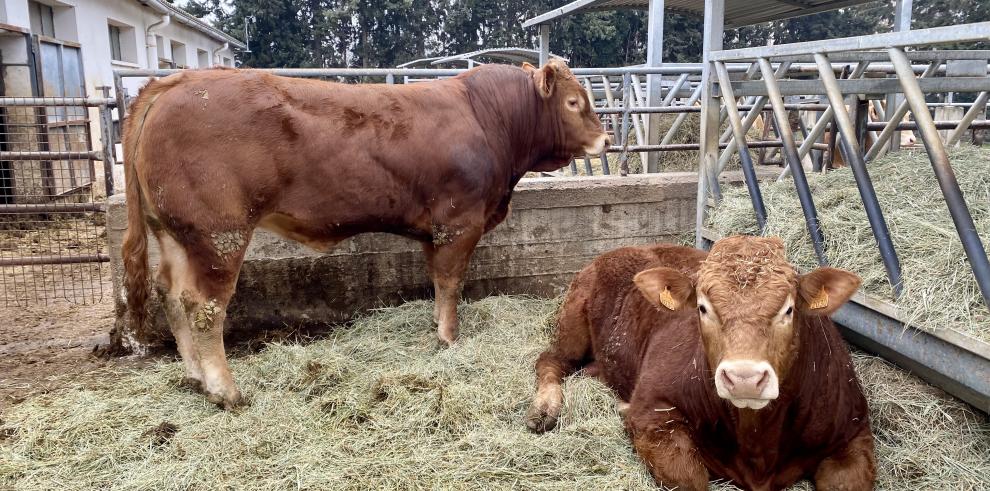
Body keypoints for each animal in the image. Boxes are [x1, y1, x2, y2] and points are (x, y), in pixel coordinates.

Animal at [120, 59, 608, 410]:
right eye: (572, 103)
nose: (604, 140)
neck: (489, 118)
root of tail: (179, 81)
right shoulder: (459, 222)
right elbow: (452, 282)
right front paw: (448, 338)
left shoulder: (435, 231)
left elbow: (437, 282)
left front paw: (436, 327)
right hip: (219, 234)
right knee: (204, 307)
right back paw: (226, 391)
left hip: (174, 233)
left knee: (170, 293)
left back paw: (194, 377)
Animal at [528, 236, 876, 490]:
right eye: (702, 308)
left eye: (788, 309)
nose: (744, 378)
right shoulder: (651, 412)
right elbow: (689, 478)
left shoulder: (854, 430)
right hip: (574, 319)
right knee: (550, 361)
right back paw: (544, 409)